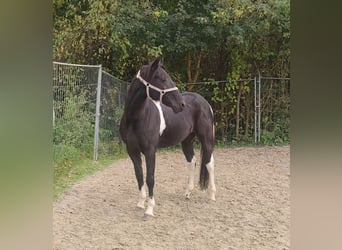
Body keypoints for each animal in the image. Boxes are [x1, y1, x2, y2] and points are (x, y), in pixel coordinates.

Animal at [119, 59, 216, 217]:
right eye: (162, 78)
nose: (181, 104)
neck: (136, 118)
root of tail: (205, 102)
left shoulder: (150, 151)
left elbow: (150, 178)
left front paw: (149, 209)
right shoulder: (132, 151)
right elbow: (139, 176)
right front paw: (140, 203)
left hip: (206, 139)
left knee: (209, 163)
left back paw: (212, 195)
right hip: (186, 141)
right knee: (192, 162)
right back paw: (187, 193)